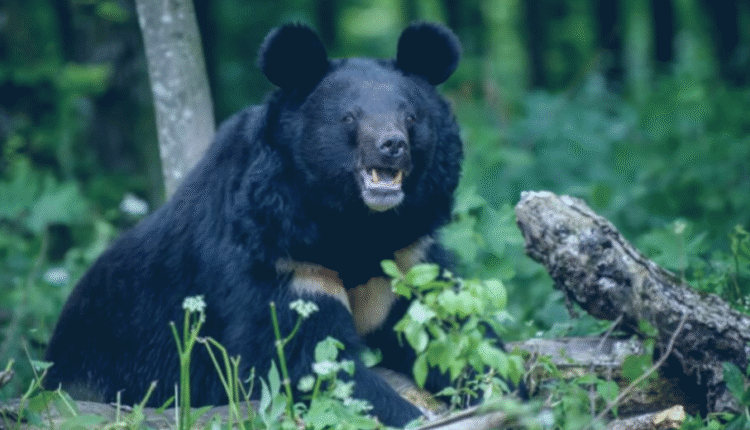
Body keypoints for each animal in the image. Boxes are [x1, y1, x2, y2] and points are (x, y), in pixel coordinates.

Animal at [44, 22, 465, 427]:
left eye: (411, 117)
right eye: (349, 117)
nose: (392, 145)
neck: (357, 224)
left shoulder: (407, 257)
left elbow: (444, 332)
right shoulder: (280, 258)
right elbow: (304, 360)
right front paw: (413, 415)